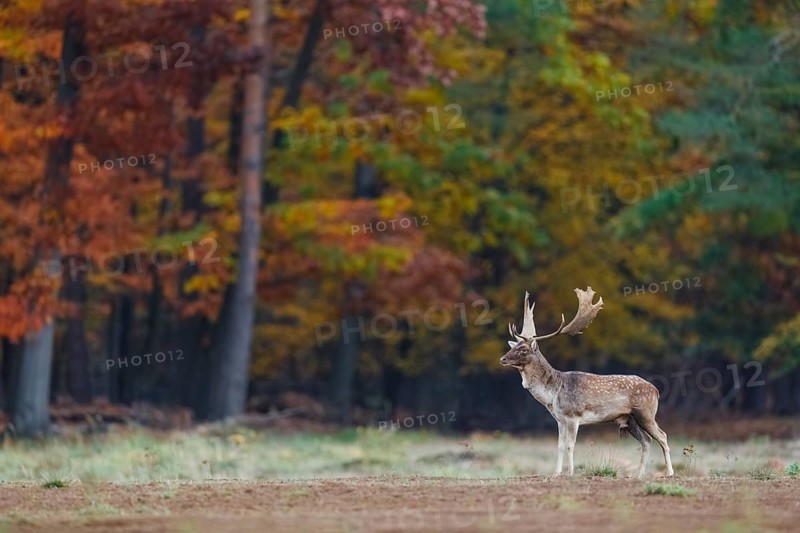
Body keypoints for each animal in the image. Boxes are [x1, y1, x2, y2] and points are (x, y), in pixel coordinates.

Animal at [499, 287, 674, 478]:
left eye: (523, 350)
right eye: (513, 347)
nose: (503, 359)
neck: (553, 395)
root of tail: (656, 390)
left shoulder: (573, 416)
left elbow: (570, 445)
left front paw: (571, 472)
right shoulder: (559, 419)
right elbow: (560, 446)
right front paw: (556, 473)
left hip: (646, 413)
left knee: (663, 436)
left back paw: (669, 473)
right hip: (629, 419)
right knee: (647, 440)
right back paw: (639, 475)